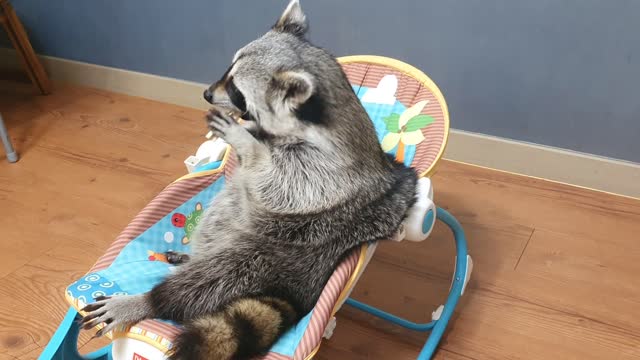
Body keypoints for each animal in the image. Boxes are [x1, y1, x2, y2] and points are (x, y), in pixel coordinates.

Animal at [80, 1, 418, 358]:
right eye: (228, 69)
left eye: (236, 90)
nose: (206, 93)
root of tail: (299, 292)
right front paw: (248, 135)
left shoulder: (327, 171)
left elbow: (279, 185)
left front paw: (246, 143)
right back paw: (191, 257)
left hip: (273, 255)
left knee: (215, 278)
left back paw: (150, 300)